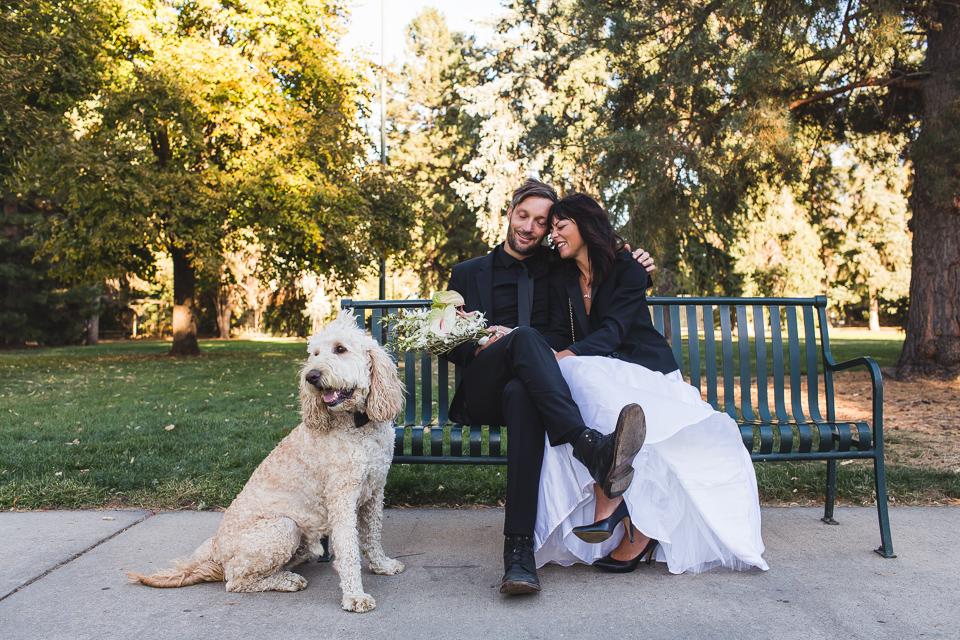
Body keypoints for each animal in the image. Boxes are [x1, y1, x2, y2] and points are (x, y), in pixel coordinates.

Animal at [126, 312, 404, 616]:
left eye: (340, 349)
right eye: (314, 354)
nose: (311, 376)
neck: (357, 425)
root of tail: (215, 549)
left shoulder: (375, 491)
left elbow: (373, 535)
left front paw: (382, 565)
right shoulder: (341, 498)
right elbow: (349, 549)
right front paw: (354, 596)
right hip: (284, 527)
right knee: (235, 579)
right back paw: (286, 581)